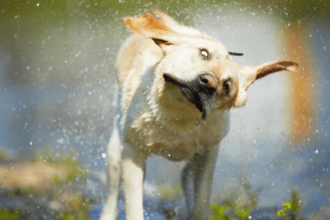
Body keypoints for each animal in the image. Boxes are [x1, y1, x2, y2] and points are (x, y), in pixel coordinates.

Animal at [99, 7, 298, 220]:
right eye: (204, 53)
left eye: (226, 86)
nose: (209, 83)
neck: (178, 114)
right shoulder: (133, 153)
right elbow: (134, 208)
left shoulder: (209, 154)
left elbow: (201, 202)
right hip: (115, 152)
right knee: (112, 195)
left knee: (186, 177)